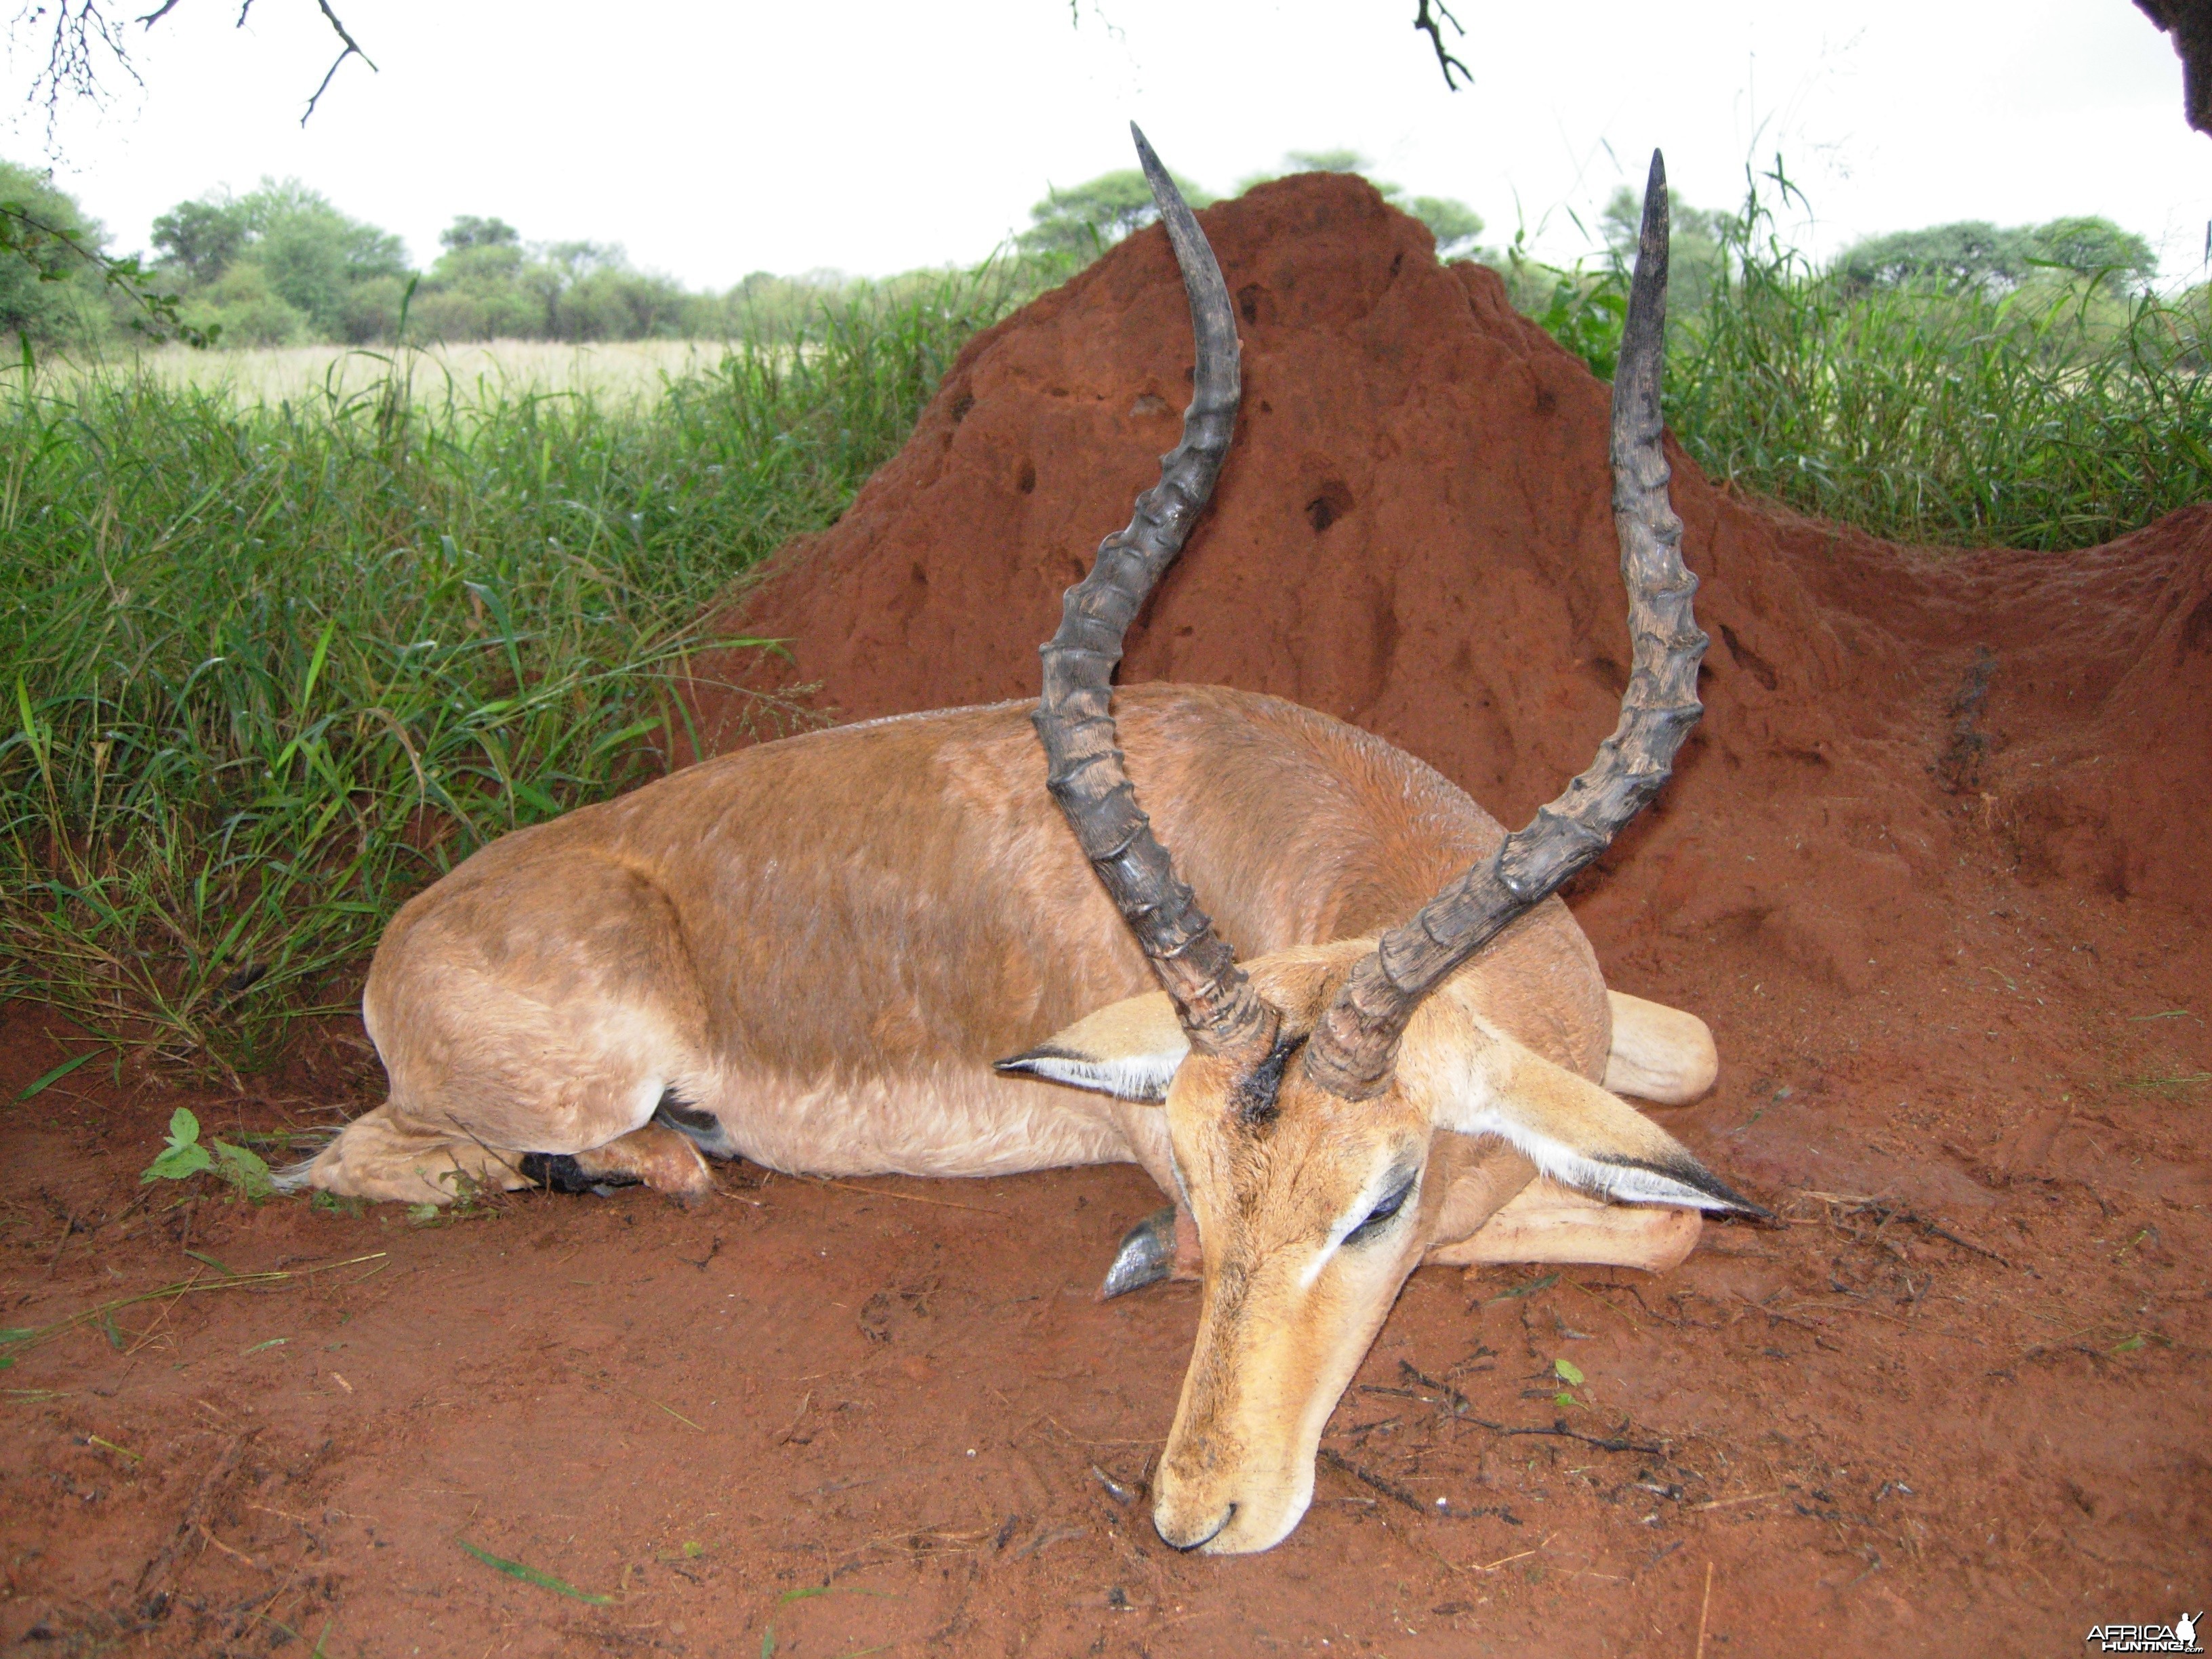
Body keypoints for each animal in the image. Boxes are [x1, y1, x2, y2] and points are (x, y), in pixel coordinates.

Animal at [294, 133, 1752, 1557]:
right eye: (1206, 1187)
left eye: (1375, 1200)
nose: (1196, 1516)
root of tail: (408, 935)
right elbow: (1660, 1221)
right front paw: (1145, 1255)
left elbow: (1685, 1088)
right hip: (575, 1087)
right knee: (359, 1158)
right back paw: (657, 1155)